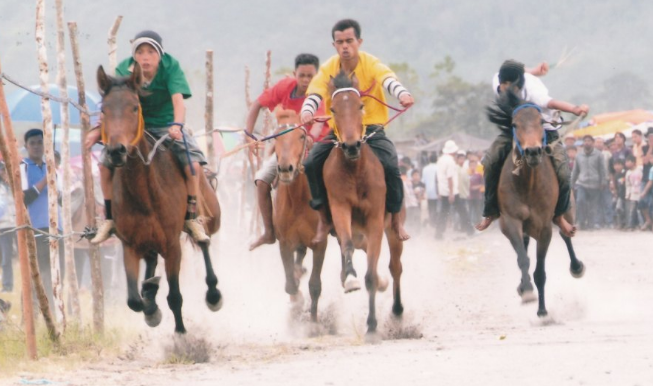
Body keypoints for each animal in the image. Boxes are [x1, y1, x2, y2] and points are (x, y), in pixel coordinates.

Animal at [94, 65, 222, 334]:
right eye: (104, 109)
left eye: (135, 107)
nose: (116, 151)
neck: (145, 195)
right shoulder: (129, 245)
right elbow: (134, 300)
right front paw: (150, 305)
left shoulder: (172, 245)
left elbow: (174, 296)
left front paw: (181, 333)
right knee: (152, 261)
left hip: (209, 215)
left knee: (204, 241)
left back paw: (213, 294)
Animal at [272, 108, 328, 320]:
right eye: (275, 137)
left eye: (301, 136)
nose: (285, 169)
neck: (297, 200)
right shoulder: (284, 242)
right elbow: (290, 284)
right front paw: (297, 302)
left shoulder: (320, 243)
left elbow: (315, 285)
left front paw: (313, 321)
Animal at [320, 71, 402, 334]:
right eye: (333, 109)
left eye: (360, 105)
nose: (351, 145)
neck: (355, 171)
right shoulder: (340, 208)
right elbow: (348, 246)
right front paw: (350, 278)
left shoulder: (376, 218)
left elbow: (371, 275)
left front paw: (372, 325)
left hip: (393, 229)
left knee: (395, 267)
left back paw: (398, 311)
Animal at [488, 89, 584, 316]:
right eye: (514, 124)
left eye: (541, 121)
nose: (533, 152)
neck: (528, 184)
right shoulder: (511, 221)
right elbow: (523, 259)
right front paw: (527, 291)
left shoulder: (544, 228)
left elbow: (540, 271)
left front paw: (542, 311)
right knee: (524, 247)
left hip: (567, 211)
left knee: (566, 234)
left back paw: (576, 267)